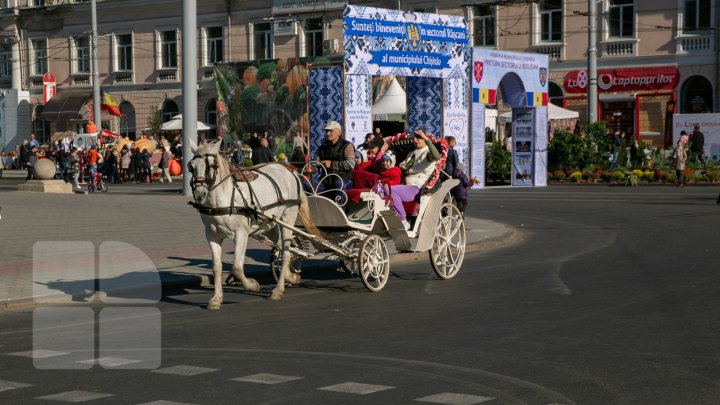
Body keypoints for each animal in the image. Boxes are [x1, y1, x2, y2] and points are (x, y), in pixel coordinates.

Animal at [188, 140, 320, 308]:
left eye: (213, 165)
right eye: (191, 167)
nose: (199, 195)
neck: (223, 197)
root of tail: (290, 170)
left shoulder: (241, 234)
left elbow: (237, 268)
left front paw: (252, 285)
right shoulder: (212, 235)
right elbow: (217, 267)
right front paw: (216, 298)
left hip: (287, 218)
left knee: (286, 252)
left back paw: (278, 289)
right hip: (270, 224)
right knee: (287, 249)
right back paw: (291, 276)